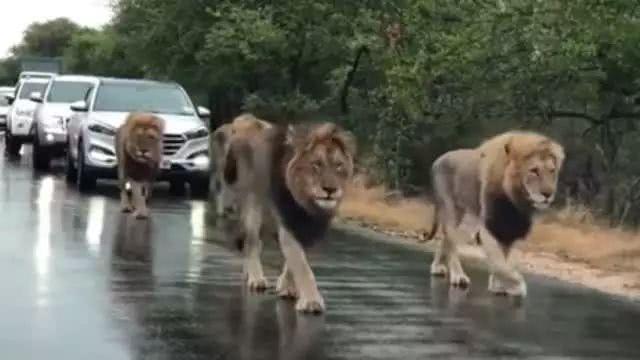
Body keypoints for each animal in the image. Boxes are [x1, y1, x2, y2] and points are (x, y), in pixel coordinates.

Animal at [222, 116, 356, 314]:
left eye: (338, 166)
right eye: (316, 164)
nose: (330, 190)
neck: (307, 203)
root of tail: (246, 120)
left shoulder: (310, 227)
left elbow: (294, 261)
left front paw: (287, 287)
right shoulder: (287, 223)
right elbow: (302, 266)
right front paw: (311, 301)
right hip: (253, 203)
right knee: (251, 242)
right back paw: (256, 278)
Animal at [424, 131, 564, 296]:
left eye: (552, 170)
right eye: (534, 170)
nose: (548, 194)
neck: (516, 202)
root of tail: (437, 160)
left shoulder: (513, 231)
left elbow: (506, 261)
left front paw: (499, 285)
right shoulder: (490, 227)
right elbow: (500, 263)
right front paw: (516, 285)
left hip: (468, 216)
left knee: (445, 239)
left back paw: (436, 267)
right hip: (453, 209)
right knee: (451, 241)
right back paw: (458, 276)